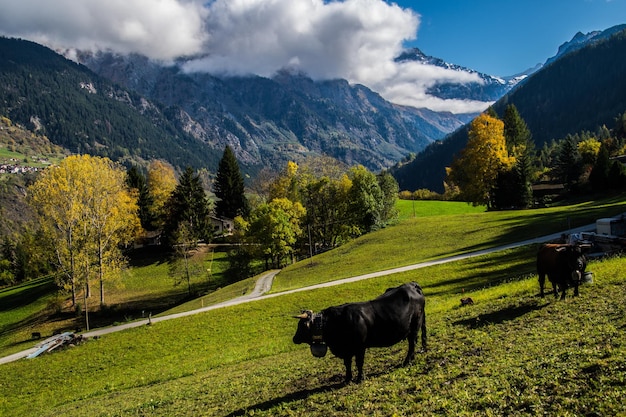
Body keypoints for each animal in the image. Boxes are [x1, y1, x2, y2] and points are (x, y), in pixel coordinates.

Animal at [292, 282, 426, 382]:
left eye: (301, 325)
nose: (294, 339)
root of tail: (412, 285)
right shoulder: (346, 350)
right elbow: (347, 364)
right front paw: (347, 378)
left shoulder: (360, 347)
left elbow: (359, 362)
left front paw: (360, 378)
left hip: (415, 325)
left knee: (412, 344)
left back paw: (407, 361)